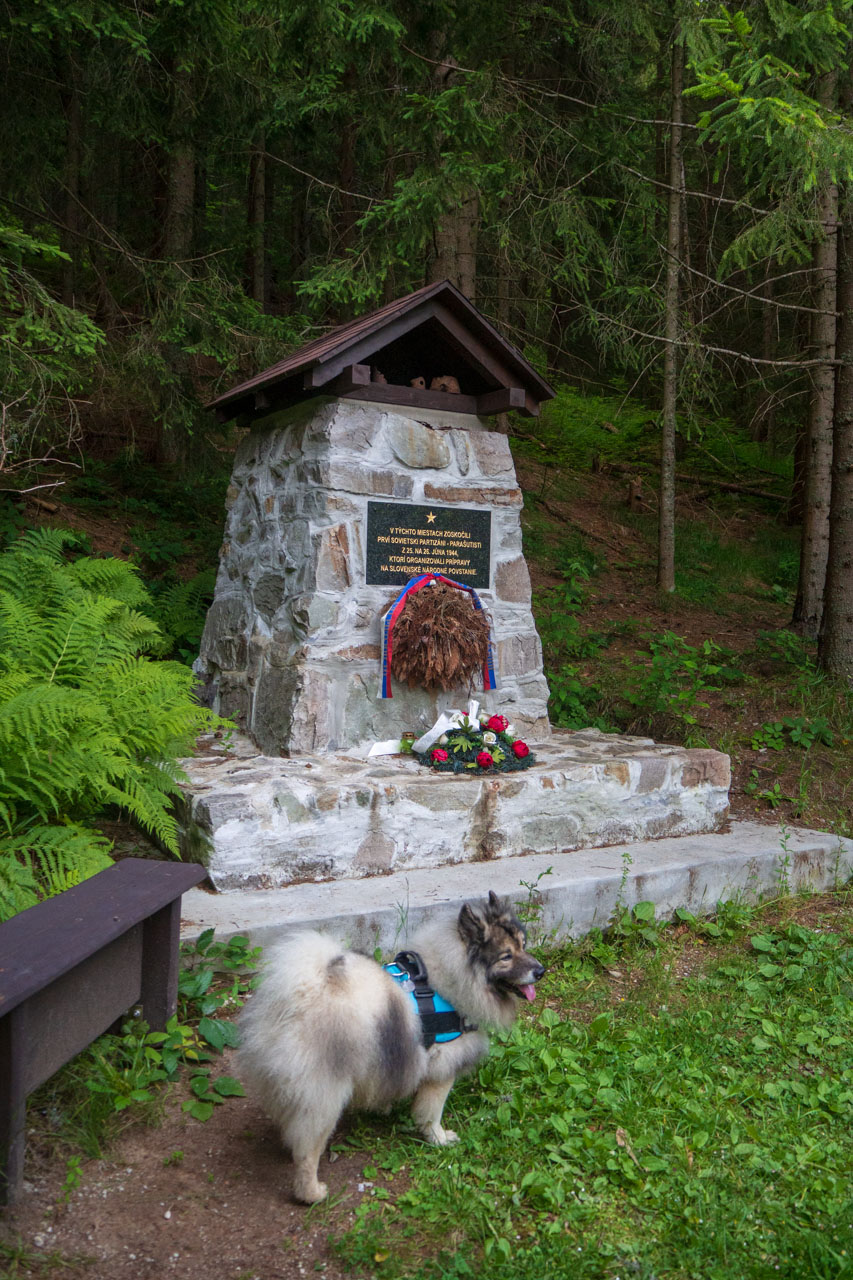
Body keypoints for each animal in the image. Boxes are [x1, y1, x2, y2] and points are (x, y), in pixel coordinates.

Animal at [236, 890, 545, 1198]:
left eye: (524, 945)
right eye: (506, 956)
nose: (540, 970)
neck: (448, 982)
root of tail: (298, 999)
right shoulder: (441, 1071)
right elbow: (431, 1113)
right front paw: (439, 1139)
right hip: (325, 1095)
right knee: (307, 1150)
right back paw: (312, 1192)